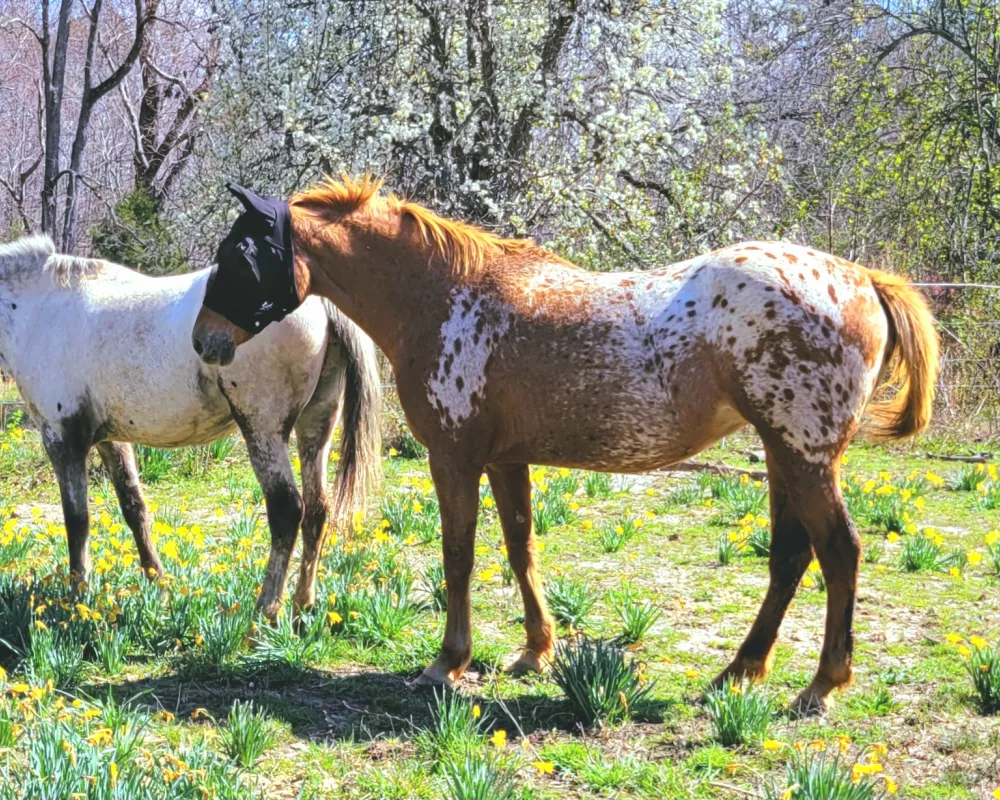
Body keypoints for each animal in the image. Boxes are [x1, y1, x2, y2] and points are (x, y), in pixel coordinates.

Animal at [0, 234, 382, 616]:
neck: (41, 308)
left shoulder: (63, 440)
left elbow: (77, 520)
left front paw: (77, 599)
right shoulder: (111, 440)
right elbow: (134, 508)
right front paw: (159, 587)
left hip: (263, 429)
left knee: (288, 511)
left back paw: (265, 612)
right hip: (316, 423)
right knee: (318, 510)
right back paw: (302, 608)